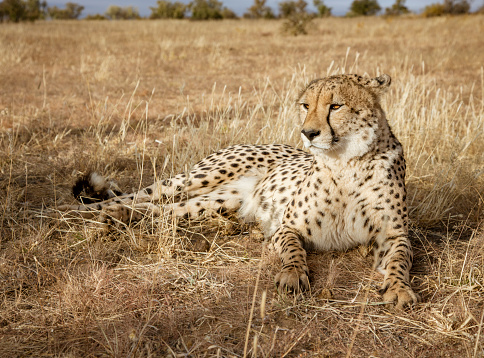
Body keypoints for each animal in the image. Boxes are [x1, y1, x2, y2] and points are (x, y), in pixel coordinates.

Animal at [56, 73, 420, 310]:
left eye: (336, 106)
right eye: (306, 105)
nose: (309, 133)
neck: (345, 162)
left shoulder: (393, 233)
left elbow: (401, 258)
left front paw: (399, 289)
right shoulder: (286, 227)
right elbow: (293, 251)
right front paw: (292, 275)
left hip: (213, 202)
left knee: (160, 212)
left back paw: (117, 218)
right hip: (198, 177)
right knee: (138, 195)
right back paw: (78, 215)